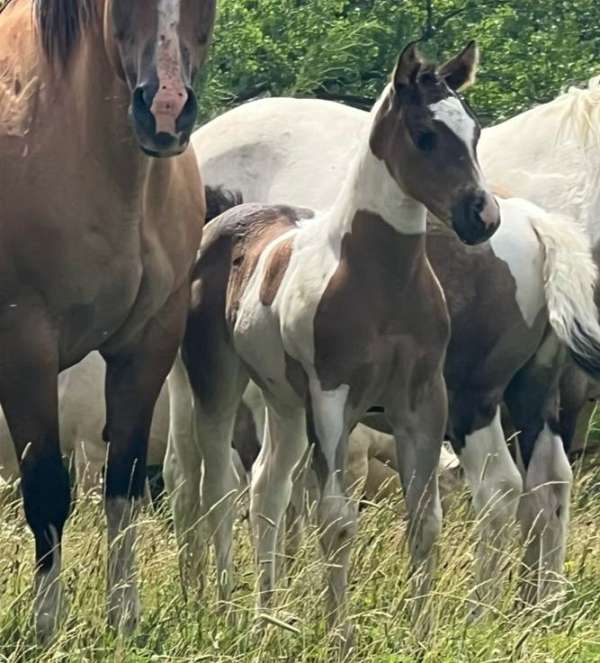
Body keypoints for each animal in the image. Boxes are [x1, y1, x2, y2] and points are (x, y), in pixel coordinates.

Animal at [0, 0, 216, 641]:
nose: (165, 110)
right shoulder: (26, 349)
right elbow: (47, 490)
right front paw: (47, 625)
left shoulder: (147, 346)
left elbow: (123, 481)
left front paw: (124, 616)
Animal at [168, 41, 501, 638]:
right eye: (425, 134)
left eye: (475, 131)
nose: (481, 216)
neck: (381, 279)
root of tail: (221, 220)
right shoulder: (333, 399)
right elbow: (337, 520)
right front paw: (339, 632)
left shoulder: (422, 401)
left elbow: (425, 520)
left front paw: (419, 634)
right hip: (217, 388)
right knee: (217, 490)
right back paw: (224, 607)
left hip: (282, 404)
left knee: (267, 489)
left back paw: (267, 612)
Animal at [181, 89, 600, 611]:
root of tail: (537, 223)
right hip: (529, 392)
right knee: (547, 485)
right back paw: (533, 607)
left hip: (473, 400)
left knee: (499, 489)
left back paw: (479, 612)